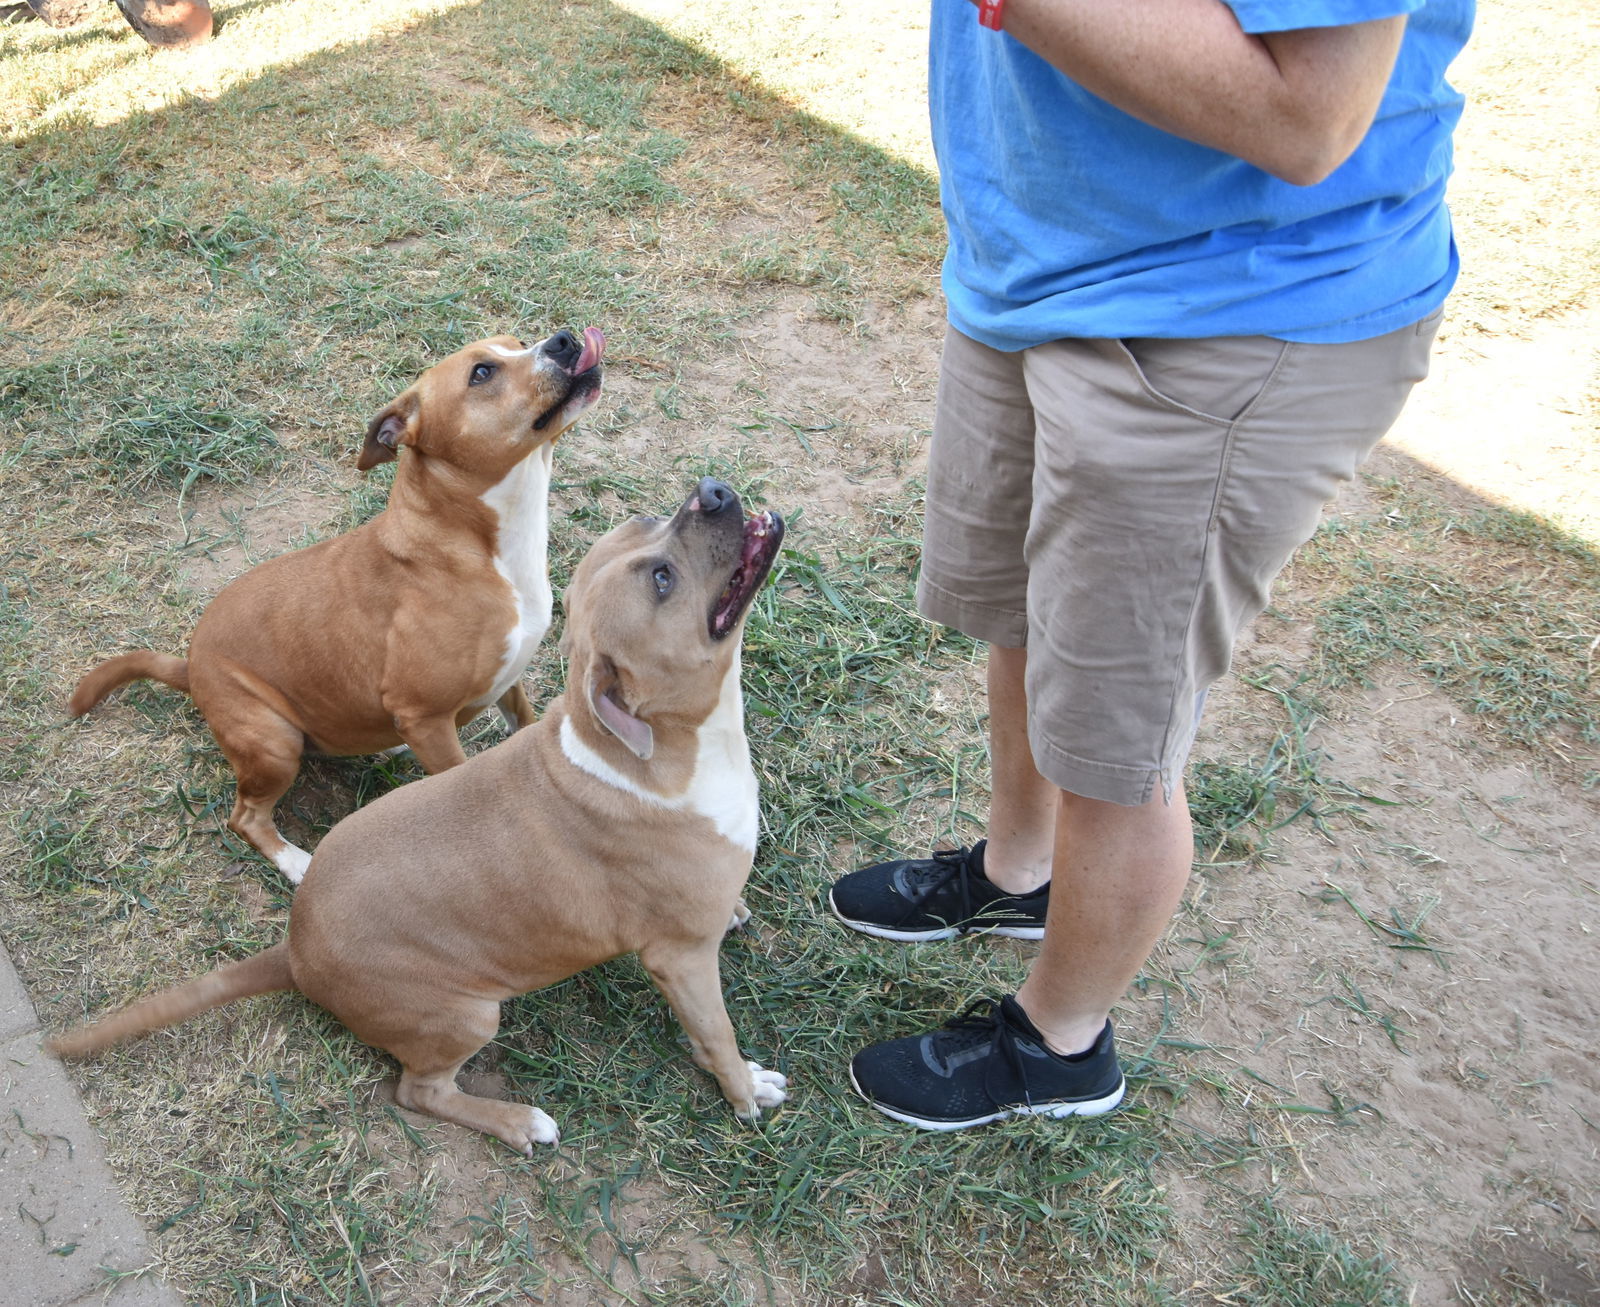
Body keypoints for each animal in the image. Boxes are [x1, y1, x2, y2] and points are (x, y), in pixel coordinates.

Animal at [53, 473, 790, 1145]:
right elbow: (719, 1036)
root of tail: (294, 949)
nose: (713, 489)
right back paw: (518, 1121)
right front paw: (745, 1089)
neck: (662, 750)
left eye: (647, 522)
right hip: (466, 1013)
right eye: (663, 579)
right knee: (419, 1092)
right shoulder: (683, 961)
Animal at [67, 326, 604, 883]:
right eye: (482, 373)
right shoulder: (424, 716)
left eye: (516, 342)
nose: (565, 339)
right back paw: (298, 864)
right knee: (245, 816)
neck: (478, 546)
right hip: (273, 742)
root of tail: (189, 666)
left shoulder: (509, 682)